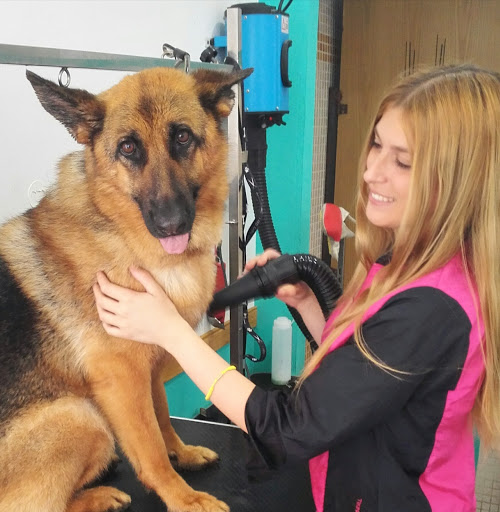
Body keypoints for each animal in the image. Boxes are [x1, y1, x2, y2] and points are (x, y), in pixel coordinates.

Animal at [0, 66, 250, 510]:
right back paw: (99, 495)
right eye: (128, 148)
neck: (122, 233)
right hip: (82, 417)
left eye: (182, 136)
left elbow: (162, 415)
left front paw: (182, 453)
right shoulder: (121, 377)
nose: (171, 224)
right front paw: (183, 498)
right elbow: (149, 448)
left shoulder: (150, 361)